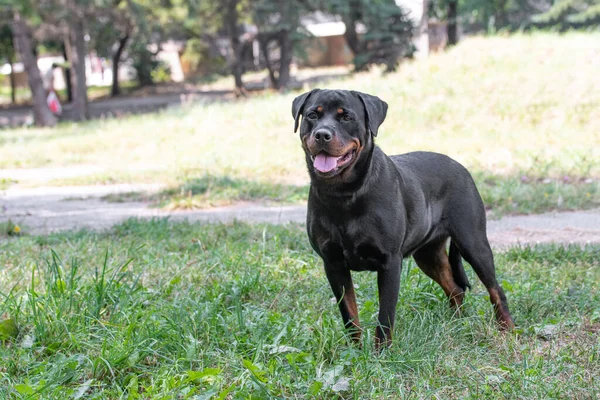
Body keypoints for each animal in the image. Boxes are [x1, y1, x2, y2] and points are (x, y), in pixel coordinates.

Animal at [292, 89, 512, 348]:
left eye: (346, 117)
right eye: (312, 115)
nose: (322, 134)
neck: (345, 194)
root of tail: (461, 166)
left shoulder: (390, 262)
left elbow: (385, 316)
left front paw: (382, 353)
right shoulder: (333, 263)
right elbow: (349, 315)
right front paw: (355, 351)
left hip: (473, 242)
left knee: (495, 289)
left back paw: (507, 330)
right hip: (427, 255)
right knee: (456, 289)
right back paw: (455, 325)